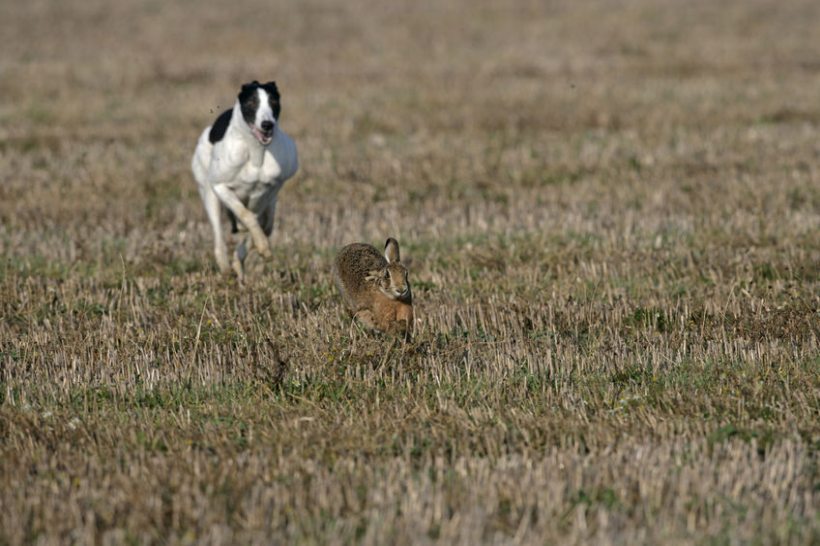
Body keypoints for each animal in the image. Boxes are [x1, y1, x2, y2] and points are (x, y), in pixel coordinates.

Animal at [192, 78, 298, 278]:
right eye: (252, 103)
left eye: (273, 101)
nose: (267, 124)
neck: (256, 152)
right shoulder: (220, 187)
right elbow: (246, 215)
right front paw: (262, 245)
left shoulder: (271, 189)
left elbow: (257, 221)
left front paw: (261, 248)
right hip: (209, 195)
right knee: (220, 236)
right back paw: (226, 268)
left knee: (265, 224)